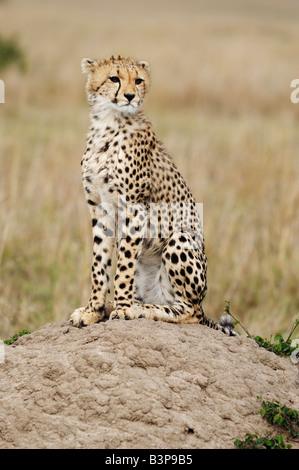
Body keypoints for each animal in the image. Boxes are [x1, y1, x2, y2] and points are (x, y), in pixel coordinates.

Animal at [69, 54, 237, 334]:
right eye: (113, 78)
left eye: (138, 80)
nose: (129, 96)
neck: (109, 122)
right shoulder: (99, 209)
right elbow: (99, 264)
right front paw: (93, 310)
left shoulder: (134, 208)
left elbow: (122, 267)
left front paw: (123, 309)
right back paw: (122, 305)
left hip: (180, 239)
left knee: (188, 311)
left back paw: (139, 309)